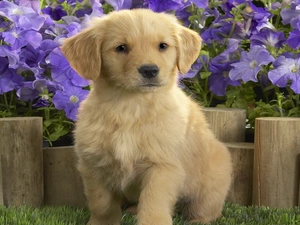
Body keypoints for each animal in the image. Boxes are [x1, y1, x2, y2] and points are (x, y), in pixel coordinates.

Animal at [62, 8, 232, 225]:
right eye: (121, 48)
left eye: (163, 46)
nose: (149, 70)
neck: (131, 106)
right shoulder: (93, 164)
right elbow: (101, 203)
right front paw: (102, 221)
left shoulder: (162, 166)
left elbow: (153, 202)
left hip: (212, 180)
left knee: (205, 209)